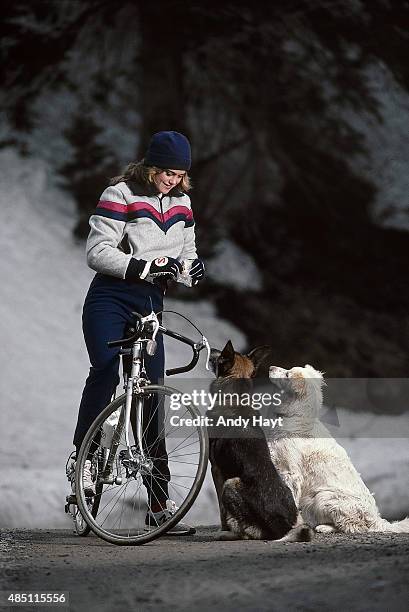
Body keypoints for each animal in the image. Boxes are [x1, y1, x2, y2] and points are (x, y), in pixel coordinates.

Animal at [207, 342, 310, 544]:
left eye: (221, 356)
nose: (210, 349)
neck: (235, 397)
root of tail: (283, 526)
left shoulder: (216, 468)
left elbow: (222, 511)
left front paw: (222, 528)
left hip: (230, 483)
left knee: (249, 533)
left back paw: (226, 534)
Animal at [266, 366, 408, 532]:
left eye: (287, 374)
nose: (270, 367)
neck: (296, 418)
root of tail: (377, 520)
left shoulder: (291, 473)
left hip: (324, 497)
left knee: (349, 526)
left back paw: (324, 528)